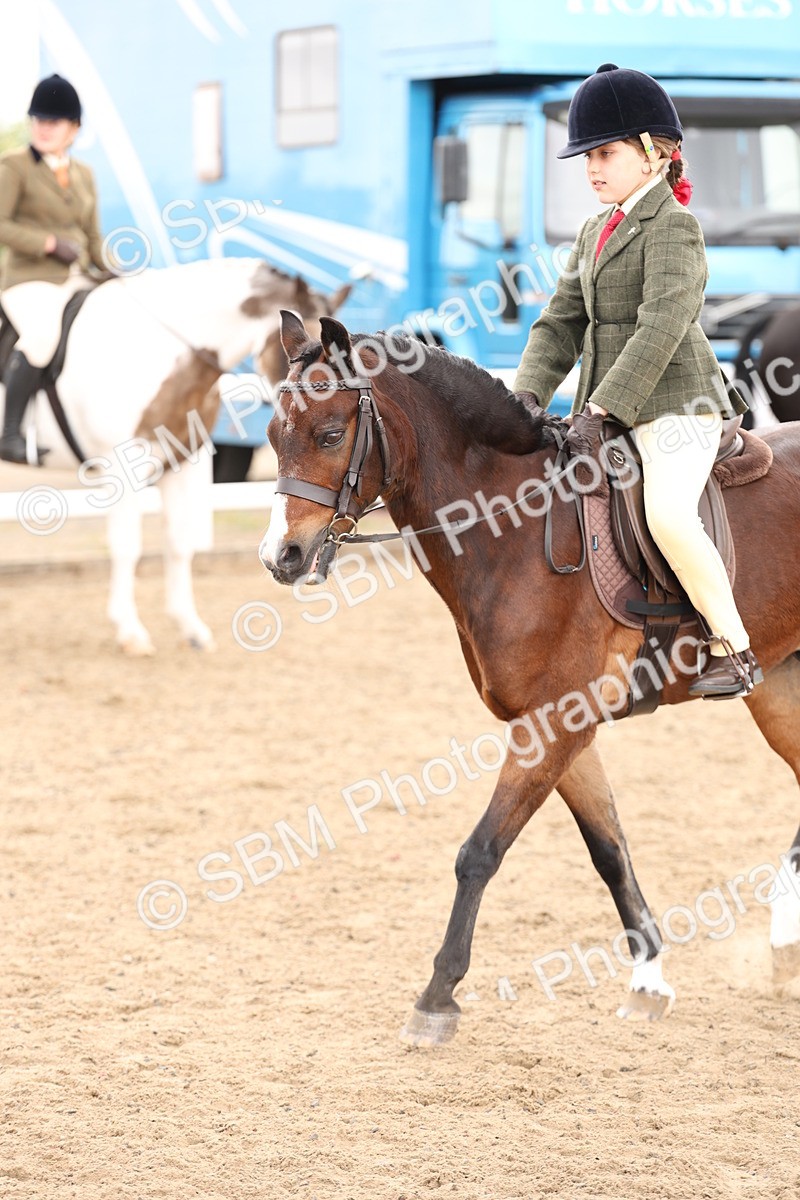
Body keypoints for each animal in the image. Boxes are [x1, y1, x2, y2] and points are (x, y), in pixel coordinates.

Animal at [0, 260, 349, 655]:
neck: (161, 349)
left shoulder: (182, 463)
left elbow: (181, 543)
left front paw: (191, 628)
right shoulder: (121, 469)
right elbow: (127, 547)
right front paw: (131, 632)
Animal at [258, 310, 800, 1047]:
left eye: (331, 434)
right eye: (270, 435)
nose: (281, 557)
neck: (515, 527)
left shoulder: (553, 726)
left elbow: (480, 851)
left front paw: (437, 997)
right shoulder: (555, 726)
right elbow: (608, 849)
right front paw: (648, 983)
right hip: (778, 687)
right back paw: (783, 946)